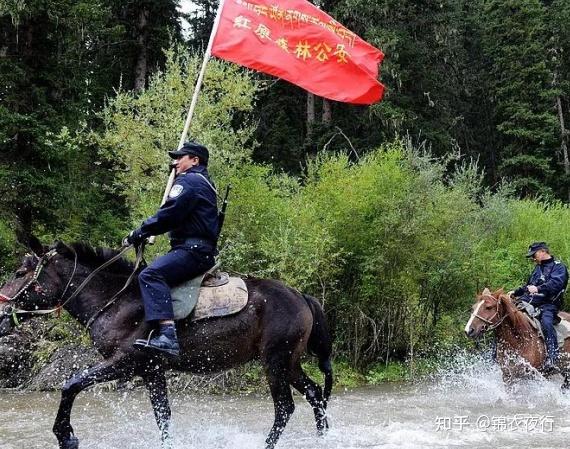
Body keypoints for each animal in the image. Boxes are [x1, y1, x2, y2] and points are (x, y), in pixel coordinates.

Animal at [0, 236, 332, 446]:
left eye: (19, 272)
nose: (1, 311)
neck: (116, 300)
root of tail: (301, 296)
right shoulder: (151, 370)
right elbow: (163, 416)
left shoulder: (124, 362)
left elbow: (71, 385)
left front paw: (66, 436)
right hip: (289, 363)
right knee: (315, 394)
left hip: (275, 362)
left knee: (285, 408)